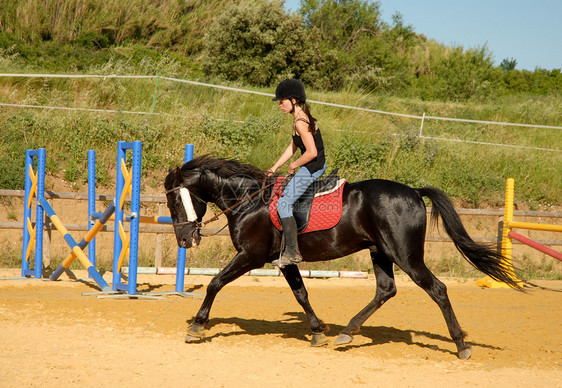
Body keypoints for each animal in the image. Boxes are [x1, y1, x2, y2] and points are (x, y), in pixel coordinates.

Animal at [164, 154, 520, 358]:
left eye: (176, 201)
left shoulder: (251, 256)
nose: (183, 239)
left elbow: (215, 283)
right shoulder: (285, 262)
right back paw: (347, 332)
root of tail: (414, 192)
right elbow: (301, 294)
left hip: (405, 256)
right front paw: (318, 332)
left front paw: (197, 326)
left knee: (438, 289)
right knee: (385, 290)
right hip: (381, 253)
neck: (249, 200)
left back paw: (461, 345)